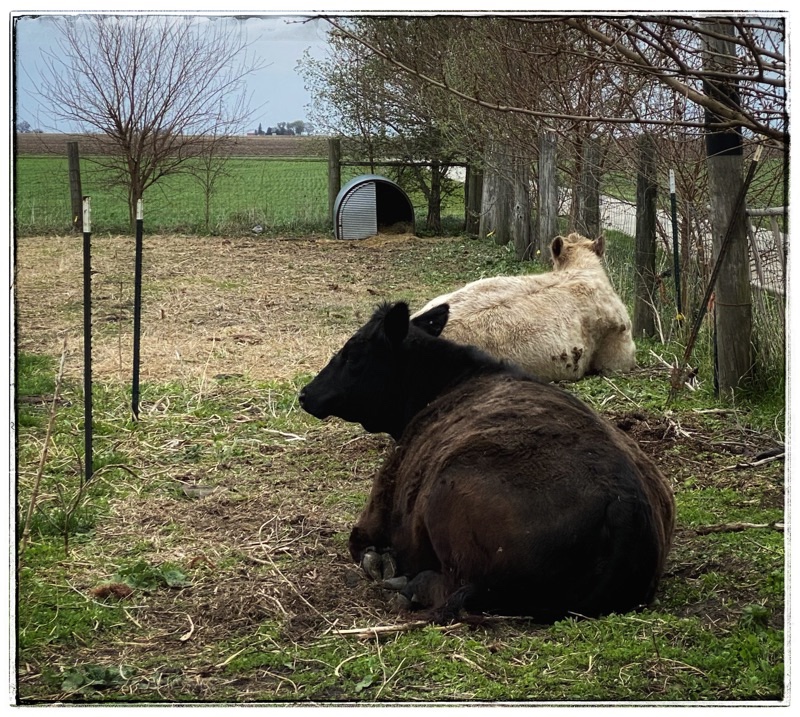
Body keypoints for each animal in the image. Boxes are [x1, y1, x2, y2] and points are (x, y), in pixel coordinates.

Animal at [298, 301, 675, 624]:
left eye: (353, 353)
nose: (305, 393)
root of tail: (626, 502)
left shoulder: (374, 516)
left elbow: (363, 548)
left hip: (447, 504)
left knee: (455, 589)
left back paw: (409, 588)